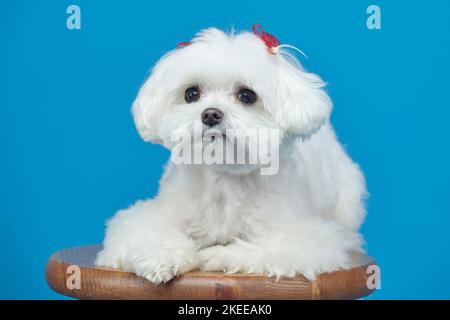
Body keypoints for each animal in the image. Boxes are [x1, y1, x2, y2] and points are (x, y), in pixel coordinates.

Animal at [95, 25, 366, 284]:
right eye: (191, 93)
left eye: (246, 95)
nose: (210, 114)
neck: (225, 180)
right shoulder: (151, 215)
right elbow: (145, 231)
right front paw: (160, 257)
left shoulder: (307, 239)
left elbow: (268, 250)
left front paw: (218, 255)